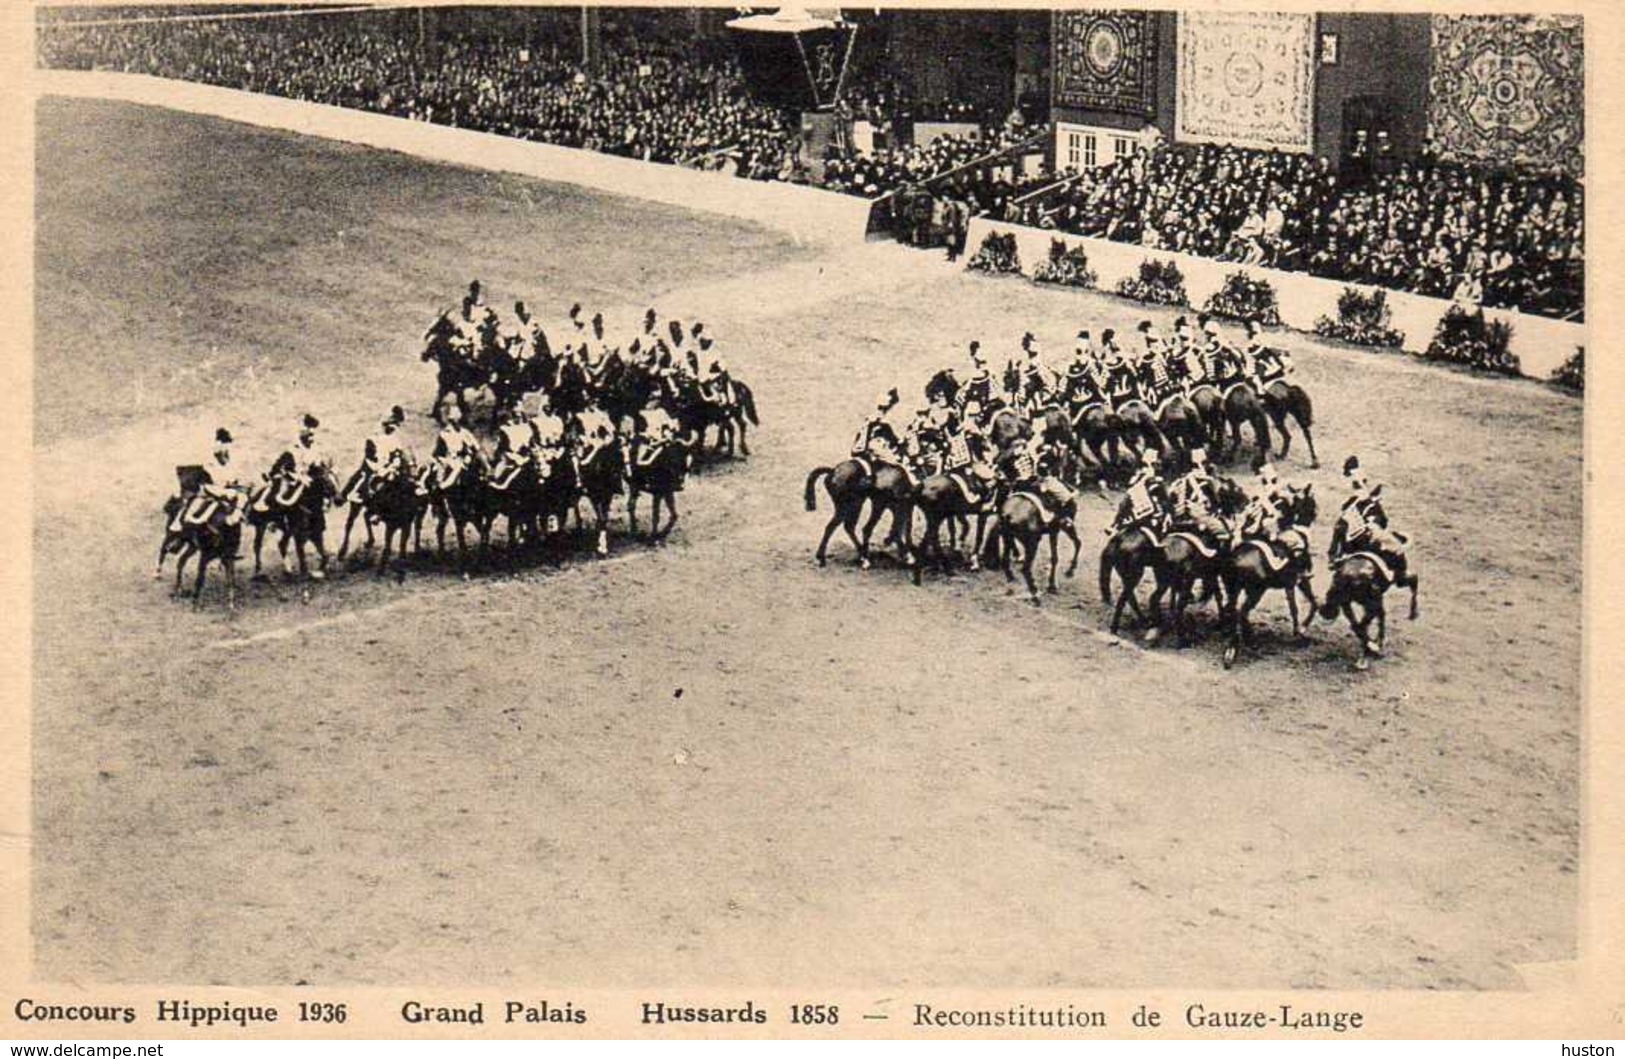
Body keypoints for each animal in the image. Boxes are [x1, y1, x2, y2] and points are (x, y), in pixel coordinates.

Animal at [1222, 484, 1319, 665]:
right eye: (1311, 503)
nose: (1315, 514)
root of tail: (1236, 558)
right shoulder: (1298, 582)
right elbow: (1306, 604)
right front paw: (1301, 630)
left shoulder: (1291, 584)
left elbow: (1300, 606)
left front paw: (1299, 630)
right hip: (1255, 592)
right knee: (1241, 612)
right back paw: (1244, 643)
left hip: (1234, 590)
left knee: (1231, 610)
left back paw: (1236, 645)